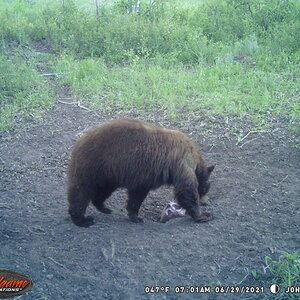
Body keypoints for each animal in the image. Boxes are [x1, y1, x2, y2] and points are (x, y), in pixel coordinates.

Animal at [67, 118, 214, 226]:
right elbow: (186, 188)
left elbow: (136, 194)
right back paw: (82, 219)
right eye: (205, 189)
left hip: (108, 173)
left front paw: (134, 216)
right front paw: (203, 215)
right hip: (93, 164)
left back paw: (103, 207)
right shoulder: (181, 161)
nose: (206, 202)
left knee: (103, 190)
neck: (195, 157)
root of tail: (79, 142)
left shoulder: (142, 175)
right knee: (81, 191)